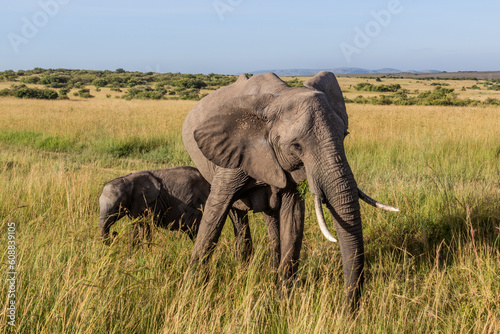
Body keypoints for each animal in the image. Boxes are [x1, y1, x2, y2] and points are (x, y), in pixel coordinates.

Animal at [182, 72, 396, 310]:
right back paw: (242, 267)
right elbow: (214, 215)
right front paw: (192, 293)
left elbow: (292, 218)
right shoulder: (231, 155)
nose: (347, 310)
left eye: (344, 134)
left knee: (270, 218)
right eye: (297, 146)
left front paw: (282, 300)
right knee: (236, 213)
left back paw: (266, 270)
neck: (279, 96)